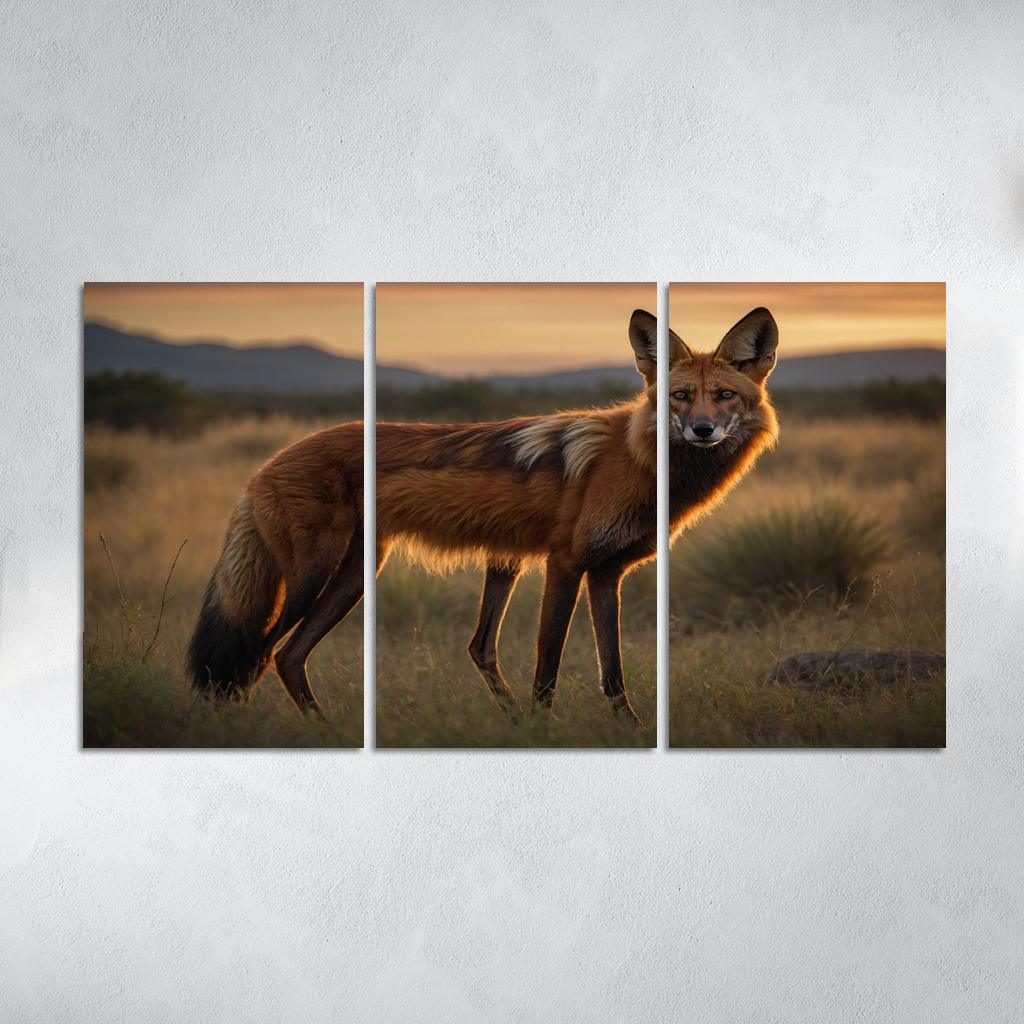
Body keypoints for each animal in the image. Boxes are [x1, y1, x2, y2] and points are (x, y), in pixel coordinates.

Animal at [187, 306, 780, 723]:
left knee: (289, 658)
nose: (703, 430)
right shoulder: (565, 563)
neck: (637, 460)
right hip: (312, 578)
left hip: (357, 576)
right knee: (258, 655)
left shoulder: (606, 573)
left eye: (723, 396)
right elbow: (548, 667)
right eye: (679, 396)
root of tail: (269, 462)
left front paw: (629, 730)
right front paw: (541, 729)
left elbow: (612, 673)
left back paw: (327, 729)